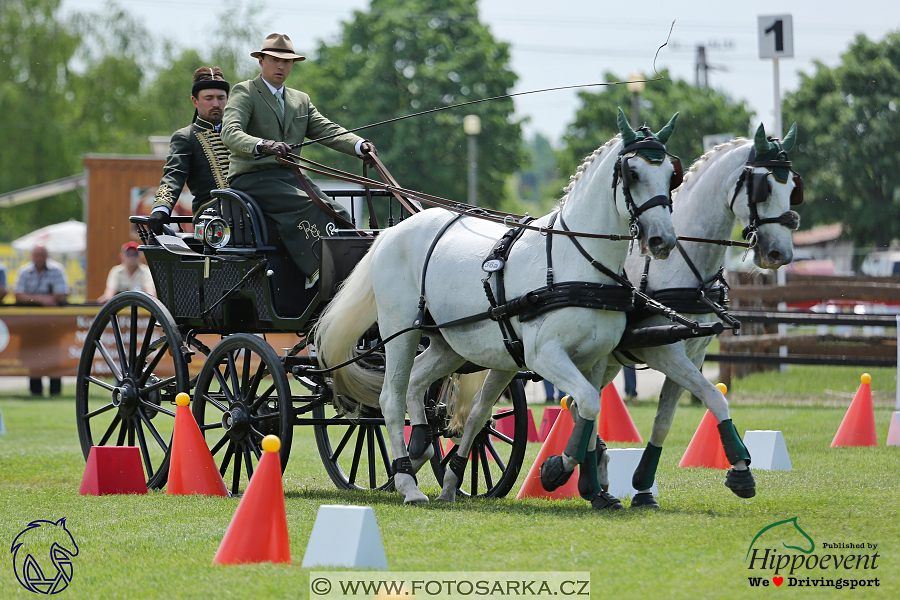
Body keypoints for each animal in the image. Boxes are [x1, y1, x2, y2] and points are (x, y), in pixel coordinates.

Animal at [312, 109, 680, 506]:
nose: (663, 240)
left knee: (417, 383)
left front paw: (593, 487)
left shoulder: (594, 360)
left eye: (671, 173)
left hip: (448, 343)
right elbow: (587, 404)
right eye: (633, 173)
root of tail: (390, 234)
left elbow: (589, 409)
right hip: (400, 333)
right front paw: (557, 470)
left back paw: (421, 447)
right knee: (389, 399)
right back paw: (408, 483)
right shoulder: (544, 355)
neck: (576, 260)